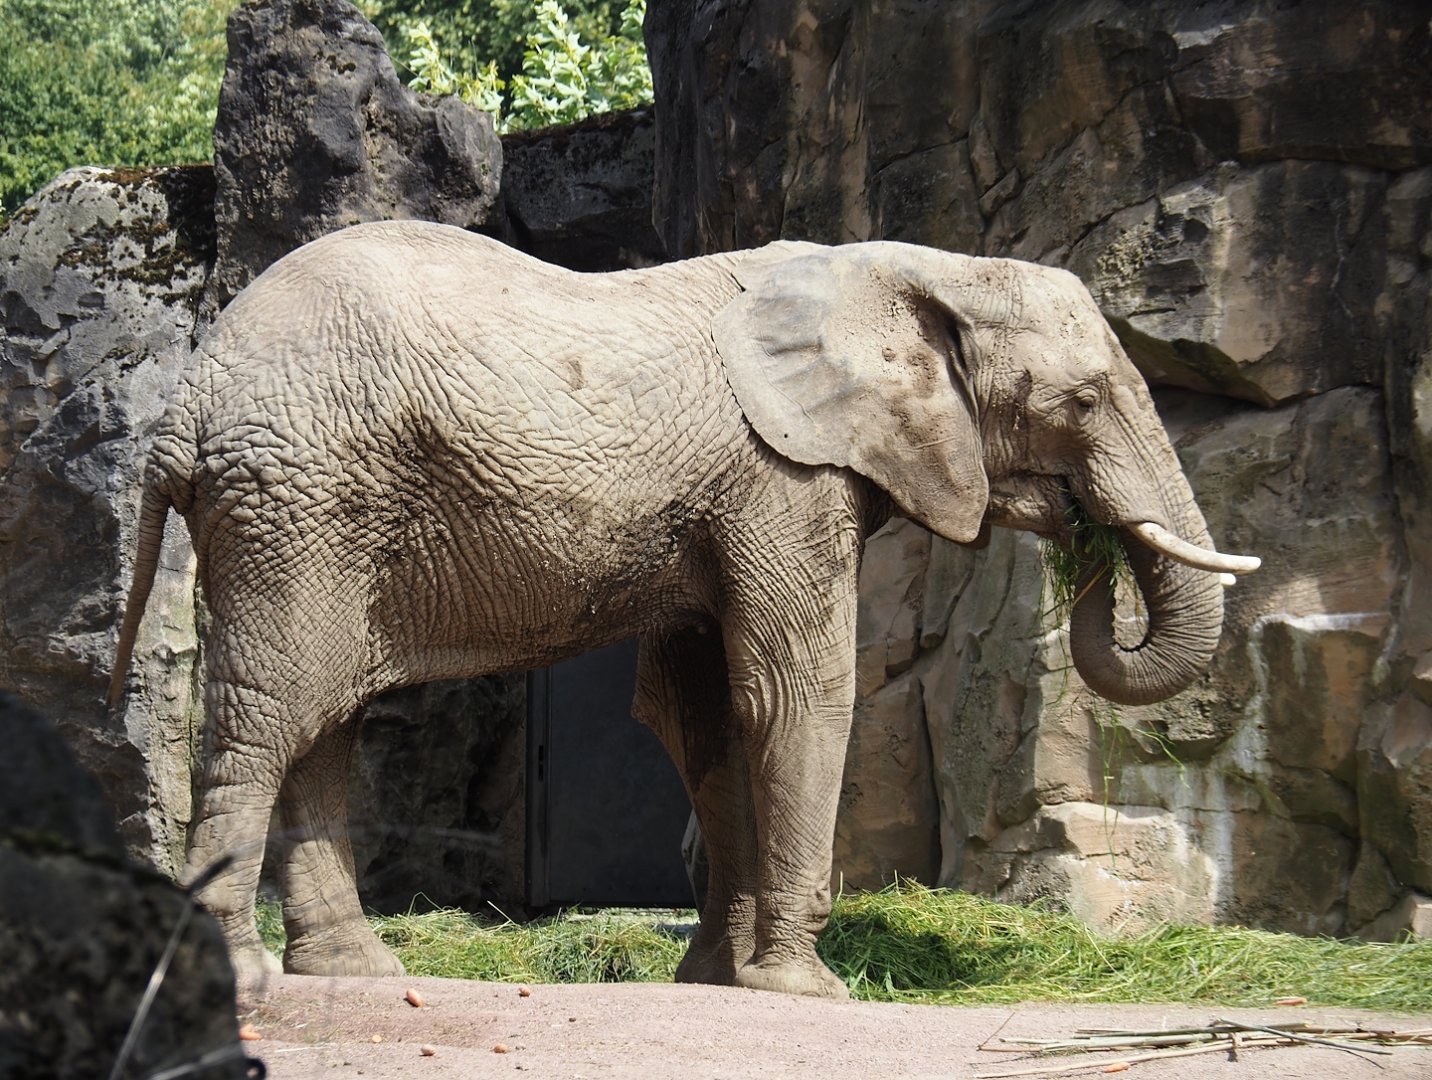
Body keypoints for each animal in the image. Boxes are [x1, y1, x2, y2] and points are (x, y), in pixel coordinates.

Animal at [109, 221, 1258, 997]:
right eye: (1082, 400)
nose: (1083, 531)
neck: (907, 268)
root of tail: (186, 407)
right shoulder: (779, 477)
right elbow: (796, 690)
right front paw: (807, 989)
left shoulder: (728, 501)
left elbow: (700, 712)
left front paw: (716, 977)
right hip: (295, 501)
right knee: (270, 717)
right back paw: (242, 978)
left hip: (308, 515)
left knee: (324, 721)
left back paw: (354, 969)